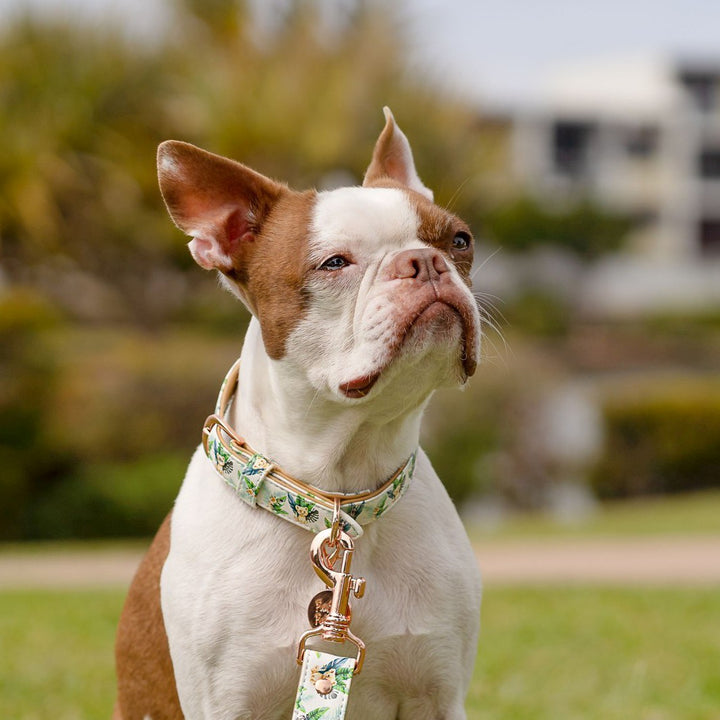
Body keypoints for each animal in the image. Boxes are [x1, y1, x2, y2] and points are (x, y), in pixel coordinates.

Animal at [114, 108, 484, 720]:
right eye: (334, 263)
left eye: (460, 240)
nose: (425, 261)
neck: (337, 493)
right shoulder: (228, 700)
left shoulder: (438, 694)